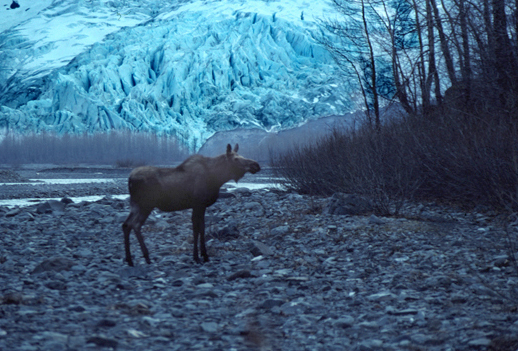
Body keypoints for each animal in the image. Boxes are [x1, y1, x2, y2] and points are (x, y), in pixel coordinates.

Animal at [122, 144, 260, 266]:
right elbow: (196, 229)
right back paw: (146, 257)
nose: (256, 165)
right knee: (135, 225)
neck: (217, 178)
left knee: (126, 225)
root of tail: (130, 179)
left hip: (135, 205)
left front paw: (204, 255)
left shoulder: (201, 206)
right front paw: (197, 257)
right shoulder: (198, 204)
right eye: (236, 159)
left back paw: (129, 259)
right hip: (145, 205)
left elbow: (202, 228)